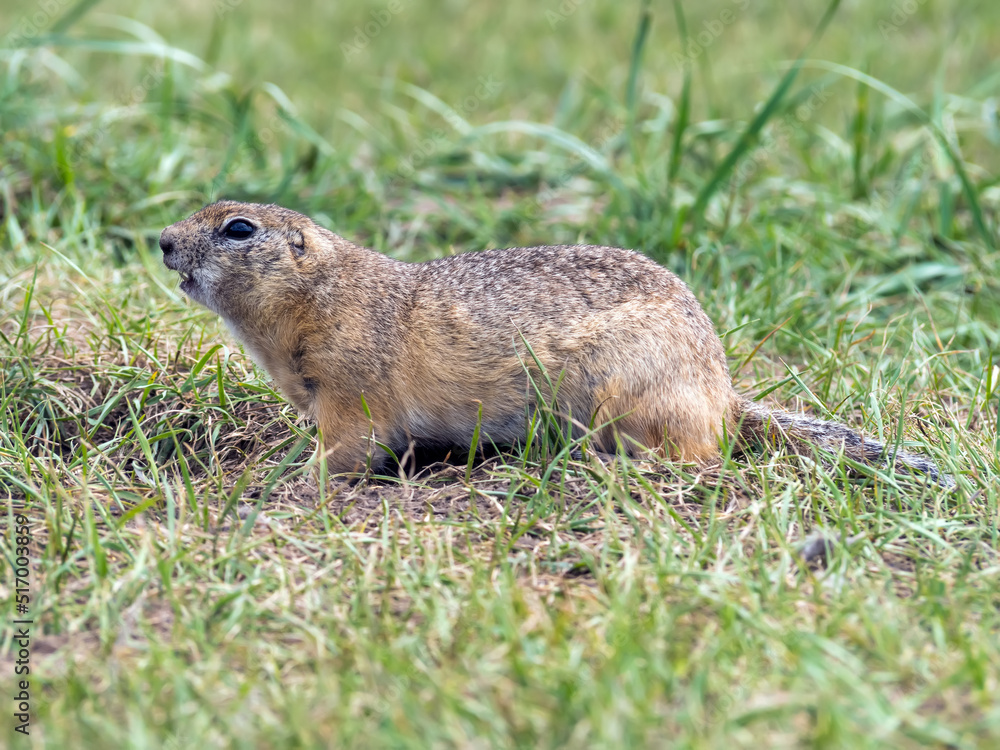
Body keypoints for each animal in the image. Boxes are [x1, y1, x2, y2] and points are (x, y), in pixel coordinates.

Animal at [158, 200, 952, 488]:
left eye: (238, 229)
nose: (162, 241)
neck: (320, 293)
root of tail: (723, 390)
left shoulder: (351, 384)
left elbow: (349, 445)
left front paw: (289, 473)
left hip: (626, 389)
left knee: (693, 455)